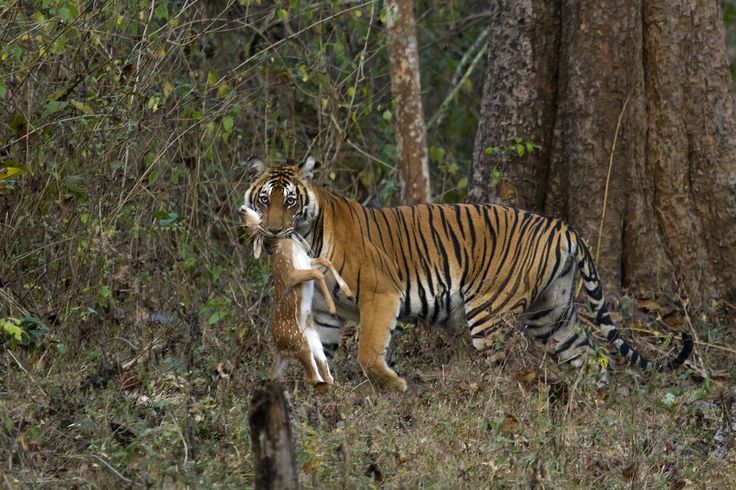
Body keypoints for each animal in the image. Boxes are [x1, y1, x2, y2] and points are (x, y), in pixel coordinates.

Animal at [242, 156, 693, 392]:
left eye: (290, 201)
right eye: (265, 200)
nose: (273, 230)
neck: (307, 238)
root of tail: (563, 227)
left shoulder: (380, 293)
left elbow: (368, 351)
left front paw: (396, 386)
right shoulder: (325, 311)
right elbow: (319, 350)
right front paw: (319, 393)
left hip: (491, 313)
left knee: (505, 365)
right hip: (551, 312)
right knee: (582, 352)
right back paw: (588, 398)